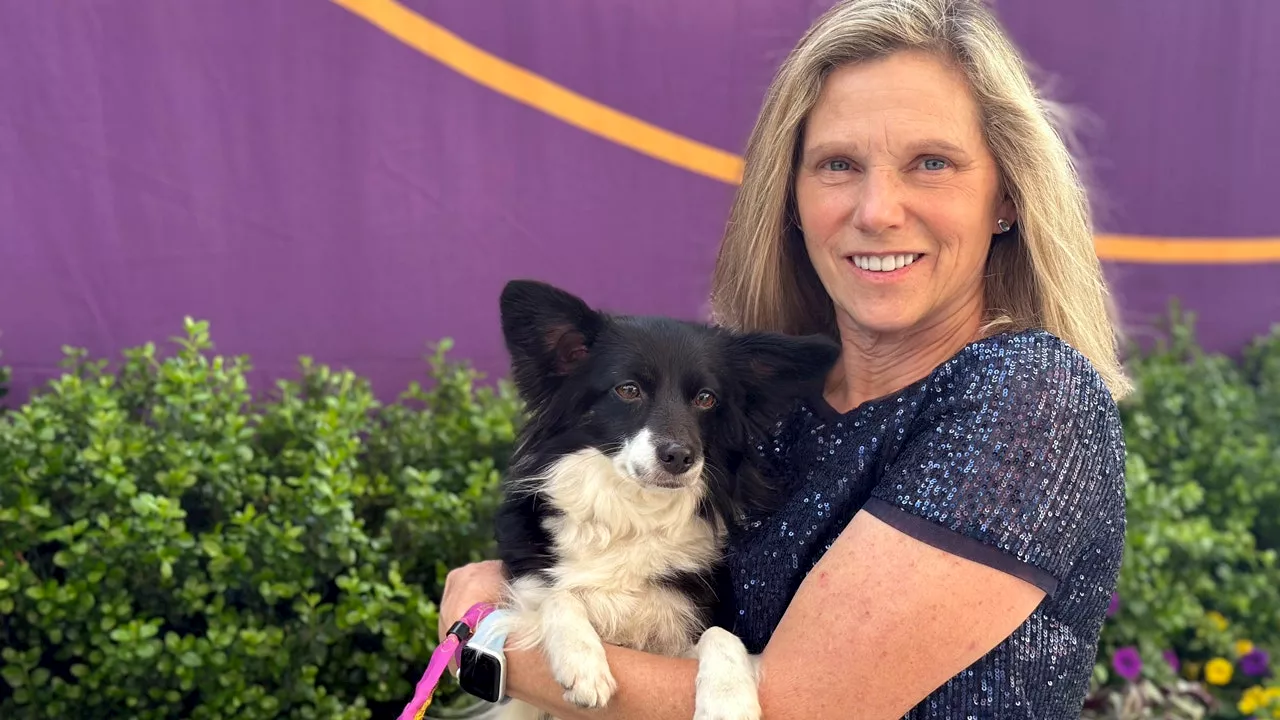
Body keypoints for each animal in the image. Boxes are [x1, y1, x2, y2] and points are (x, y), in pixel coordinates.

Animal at [483, 280, 834, 717]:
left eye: (706, 398)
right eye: (628, 390)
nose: (681, 457)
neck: (635, 512)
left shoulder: (680, 634)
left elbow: (721, 634)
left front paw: (728, 698)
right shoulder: (526, 593)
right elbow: (558, 596)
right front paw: (582, 662)